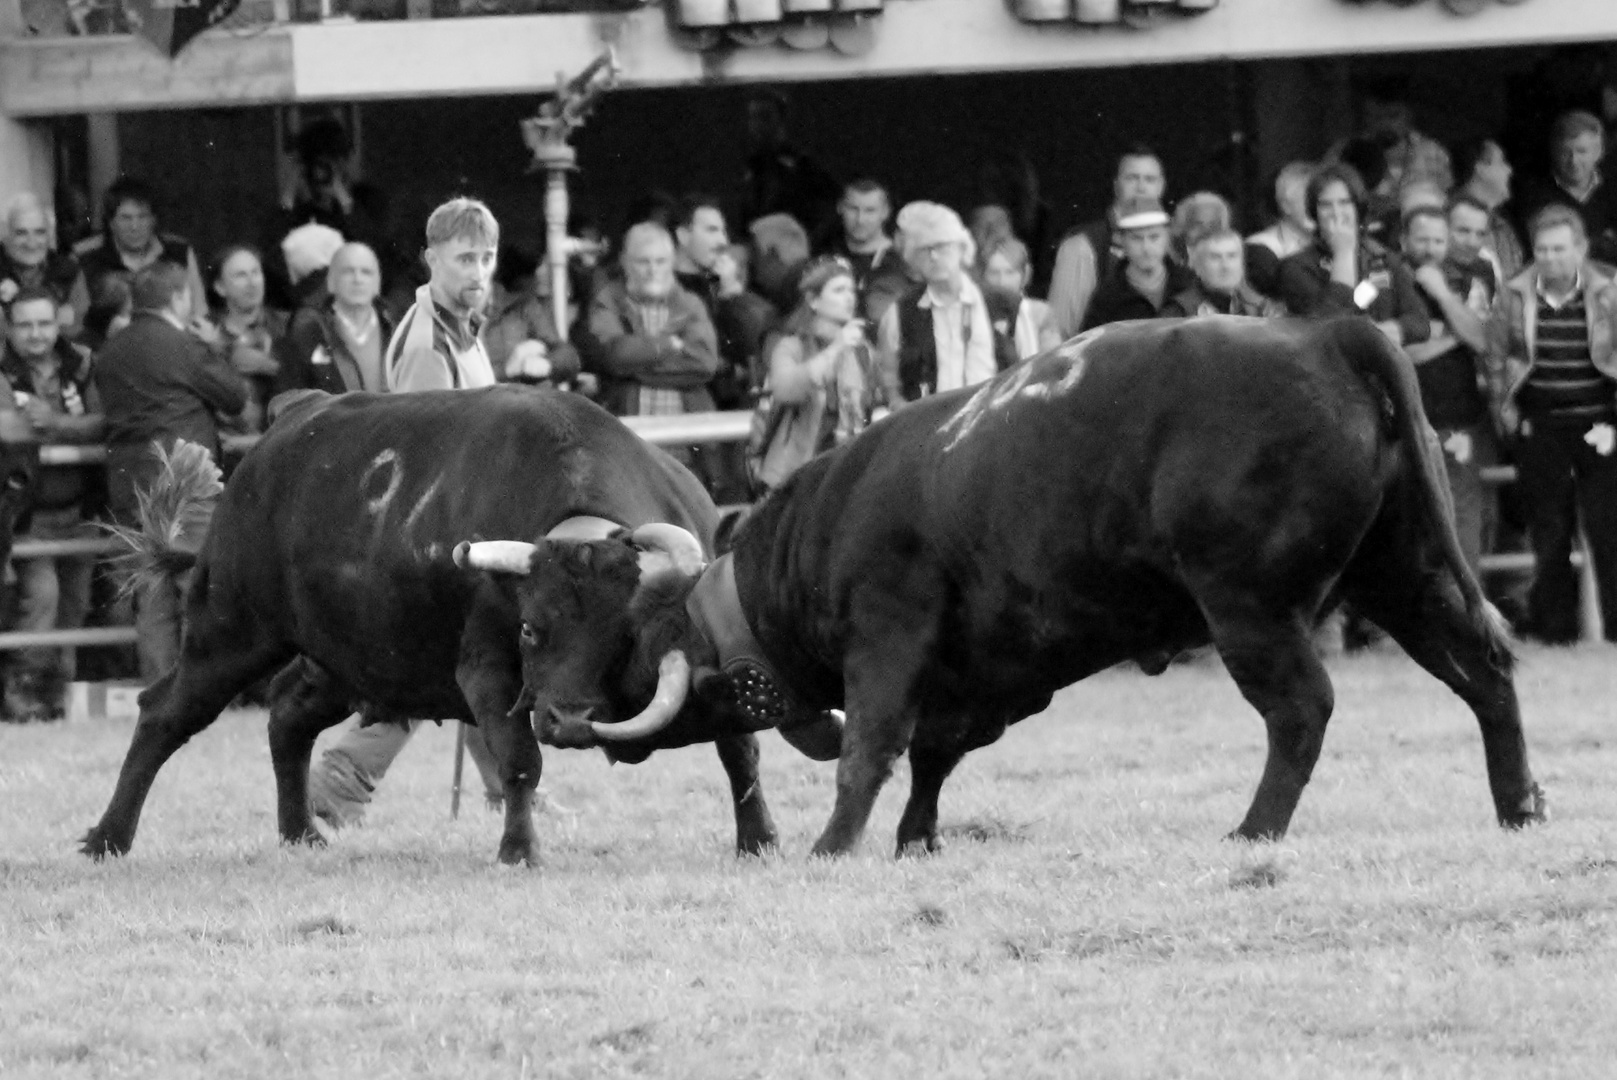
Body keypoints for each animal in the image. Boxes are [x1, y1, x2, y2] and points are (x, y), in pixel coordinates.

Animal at [78, 383, 834, 866]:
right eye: (530, 630)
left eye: (622, 635)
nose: (565, 719)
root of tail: (289, 425)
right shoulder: (487, 671)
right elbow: (520, 762)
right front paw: (519, 849)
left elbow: (741, 751)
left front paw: (760, 839)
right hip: (232, 630)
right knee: (164, 714)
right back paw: (108, 838)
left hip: (348, 658)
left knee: (288, 717)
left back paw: (301, 834)